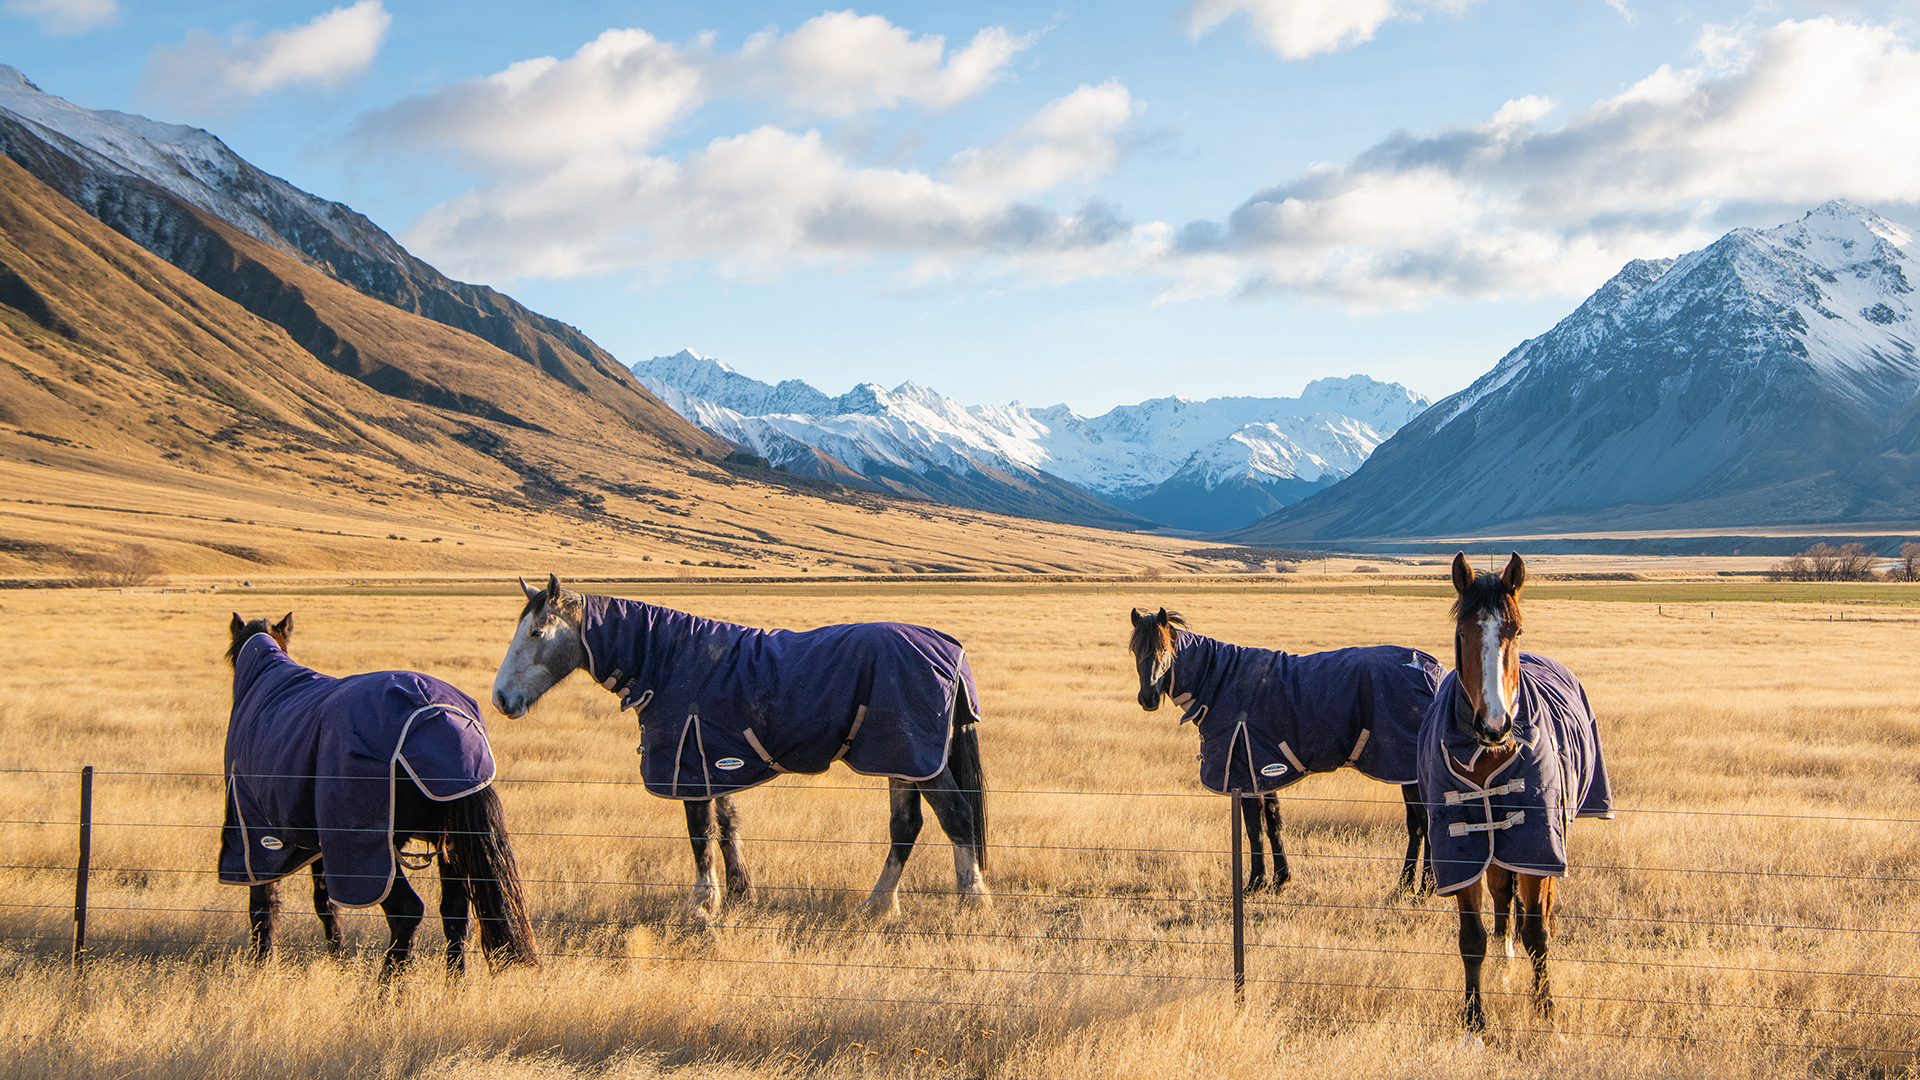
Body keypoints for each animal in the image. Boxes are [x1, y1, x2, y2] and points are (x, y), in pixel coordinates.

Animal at [221, 613, 539, 981]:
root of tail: (443, 718)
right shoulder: (320, 840)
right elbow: (324, 902)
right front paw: (340, 961)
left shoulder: (256, 831)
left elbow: (264, 903)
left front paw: (262, 964)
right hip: (449, 841)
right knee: (455, 912)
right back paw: (454, 984)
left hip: (375, 846)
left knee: (407, 911)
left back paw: (387, 988)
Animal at [491, 575, 990, 920]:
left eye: (536, 633)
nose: (500, 699)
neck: (669, 661)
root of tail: (948, 649)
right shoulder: (713, 759)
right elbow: (728, 825)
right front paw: (739, 892)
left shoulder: (688, 764)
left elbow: (701, 833)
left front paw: (702, 904)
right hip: (900, 759)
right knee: (906, 826)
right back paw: (878, 906)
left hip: (916, 757)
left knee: (955, 815)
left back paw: (973, 902)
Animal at [1128, 607, 1440, 894]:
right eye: (1134, 650)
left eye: (1164, 650)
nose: (1148, 698)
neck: (1221, 681)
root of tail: (1429, 668)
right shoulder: (1264, 770)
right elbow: (1273, 823)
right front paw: (1280, 879)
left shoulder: (1245, 774)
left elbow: (1253, 828)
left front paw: (1255, 883)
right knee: (1417, 824)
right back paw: (1405, 886)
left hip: (1407, 771)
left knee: (1423, 822)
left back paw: (1423, 888)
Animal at [1419, 552, 1612, 1033]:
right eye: (1462, 632)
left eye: (1517, 631)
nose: (1495, 723)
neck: (1488, 754)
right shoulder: (1465, 849)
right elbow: (1473, 937)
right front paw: (1474, 1022)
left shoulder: (1538, 845)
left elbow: (1538, 933)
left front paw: (1547, 1012)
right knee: (1503, 900)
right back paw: (1505, 962)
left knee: (1538, 912)